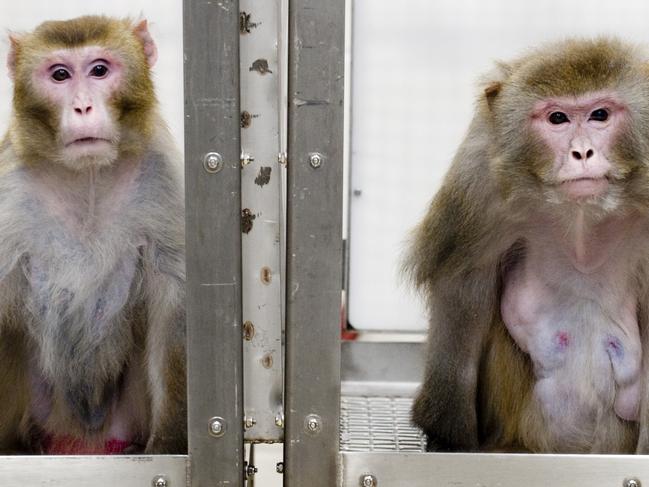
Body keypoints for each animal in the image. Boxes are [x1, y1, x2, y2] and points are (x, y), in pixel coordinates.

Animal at [0, 16, 185, 458]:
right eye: (60, 75)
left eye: (99, 70)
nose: (82, 106)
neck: (87, 177)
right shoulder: (7, 186)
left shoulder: (161, 176)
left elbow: (172, 311)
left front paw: (167, 445)